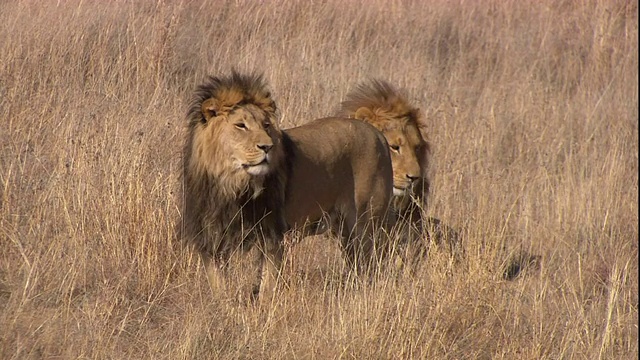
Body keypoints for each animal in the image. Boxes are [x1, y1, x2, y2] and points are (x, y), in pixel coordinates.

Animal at [181, 71, 288, 300]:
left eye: (266, 125)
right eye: (241, 125)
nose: (268, 147)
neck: (231, 186)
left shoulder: (271, 233)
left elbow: (268, 281)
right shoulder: (210, 236)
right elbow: (217, 281)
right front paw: (223, 304)